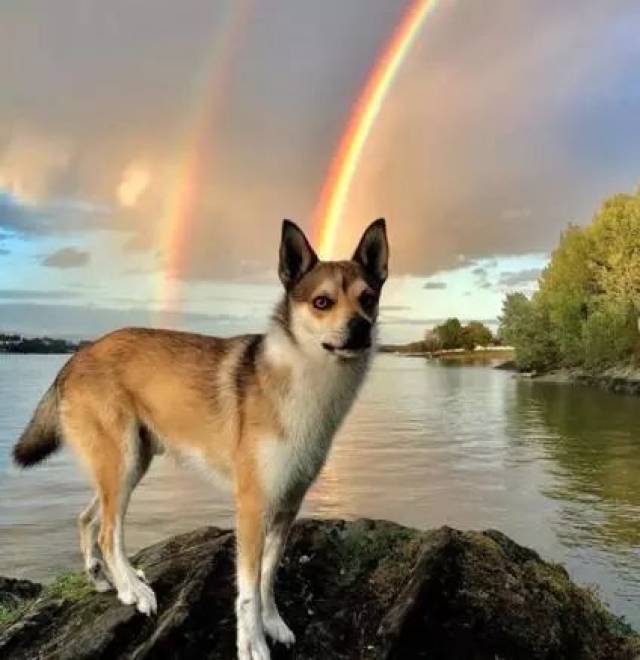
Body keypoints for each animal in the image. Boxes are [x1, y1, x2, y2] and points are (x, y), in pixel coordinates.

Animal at [12, 218, 390, 660]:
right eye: (322, 302)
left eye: (368, 298)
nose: (361, 327)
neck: (305, 377)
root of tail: (75, 357)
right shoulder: (252, 507)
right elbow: (248, 590)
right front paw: (252, 644)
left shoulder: (287, 506)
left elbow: (268, 578)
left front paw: (274, 624)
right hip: (122, 461)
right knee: (108, 532)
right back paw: (134, 591)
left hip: (128, 463)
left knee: (89, 518)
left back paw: (106, 580)